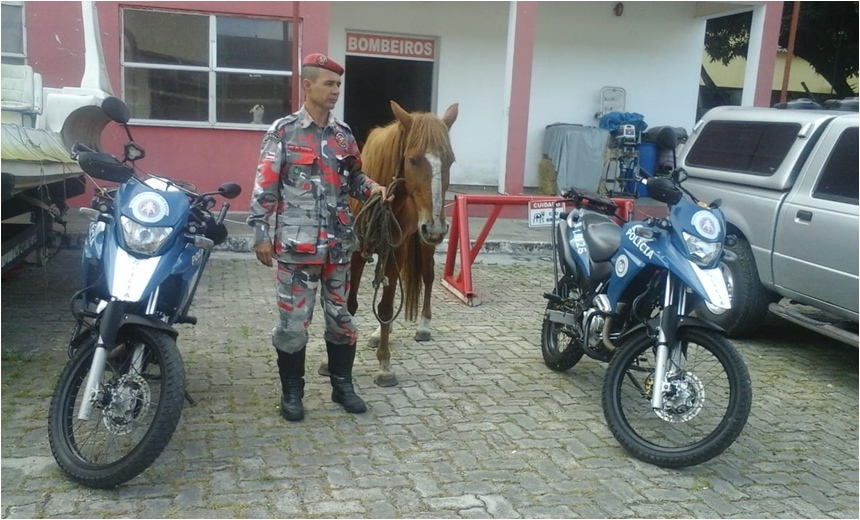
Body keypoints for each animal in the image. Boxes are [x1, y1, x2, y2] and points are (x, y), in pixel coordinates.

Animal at [346, 100, 460, 386]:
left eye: (450, 160)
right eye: (413, 159)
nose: (435, 227)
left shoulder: (395, 248)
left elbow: (386, 308)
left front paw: (385, 365)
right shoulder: (356, 252)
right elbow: (349, 304)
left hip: (421, 245)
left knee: (427, 277)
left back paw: (423, 326)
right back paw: (377, 334)